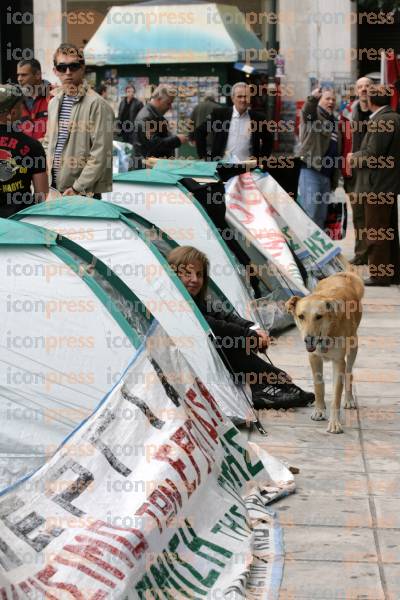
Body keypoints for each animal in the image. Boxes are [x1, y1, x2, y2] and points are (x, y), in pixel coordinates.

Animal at [286, 274, 364, 434]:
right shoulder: (314, 358)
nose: (308, 339)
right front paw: (319, 410)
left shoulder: (339, 362)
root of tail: (342, 274)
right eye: (301, 316)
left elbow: (336, 396)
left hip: (353, 346)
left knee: (349, 373)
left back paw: (349, 399)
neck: (327, 334)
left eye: (319, 316)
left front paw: (334, 423)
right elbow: (318, 385)